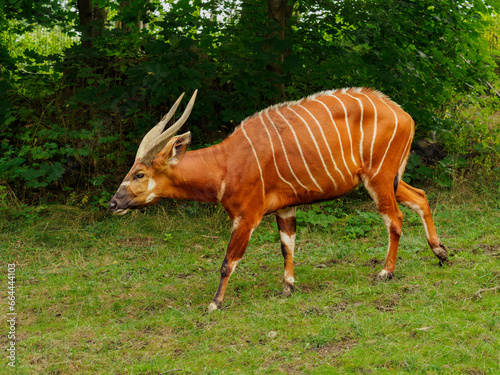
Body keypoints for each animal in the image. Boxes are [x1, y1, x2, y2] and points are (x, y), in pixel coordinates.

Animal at [109, 88, 450, 312]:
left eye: (139, 173)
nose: (113, 203)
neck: (227, 162)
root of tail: (404, 115)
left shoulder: (247, 215)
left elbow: (228, 261)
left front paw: (215, 303)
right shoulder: (285, 209)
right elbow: (288, 246)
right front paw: (287, 287)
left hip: (378, 179)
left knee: (395, 218)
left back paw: (386, 272)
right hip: (389, 179)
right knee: (420, 197)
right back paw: (441, 253)